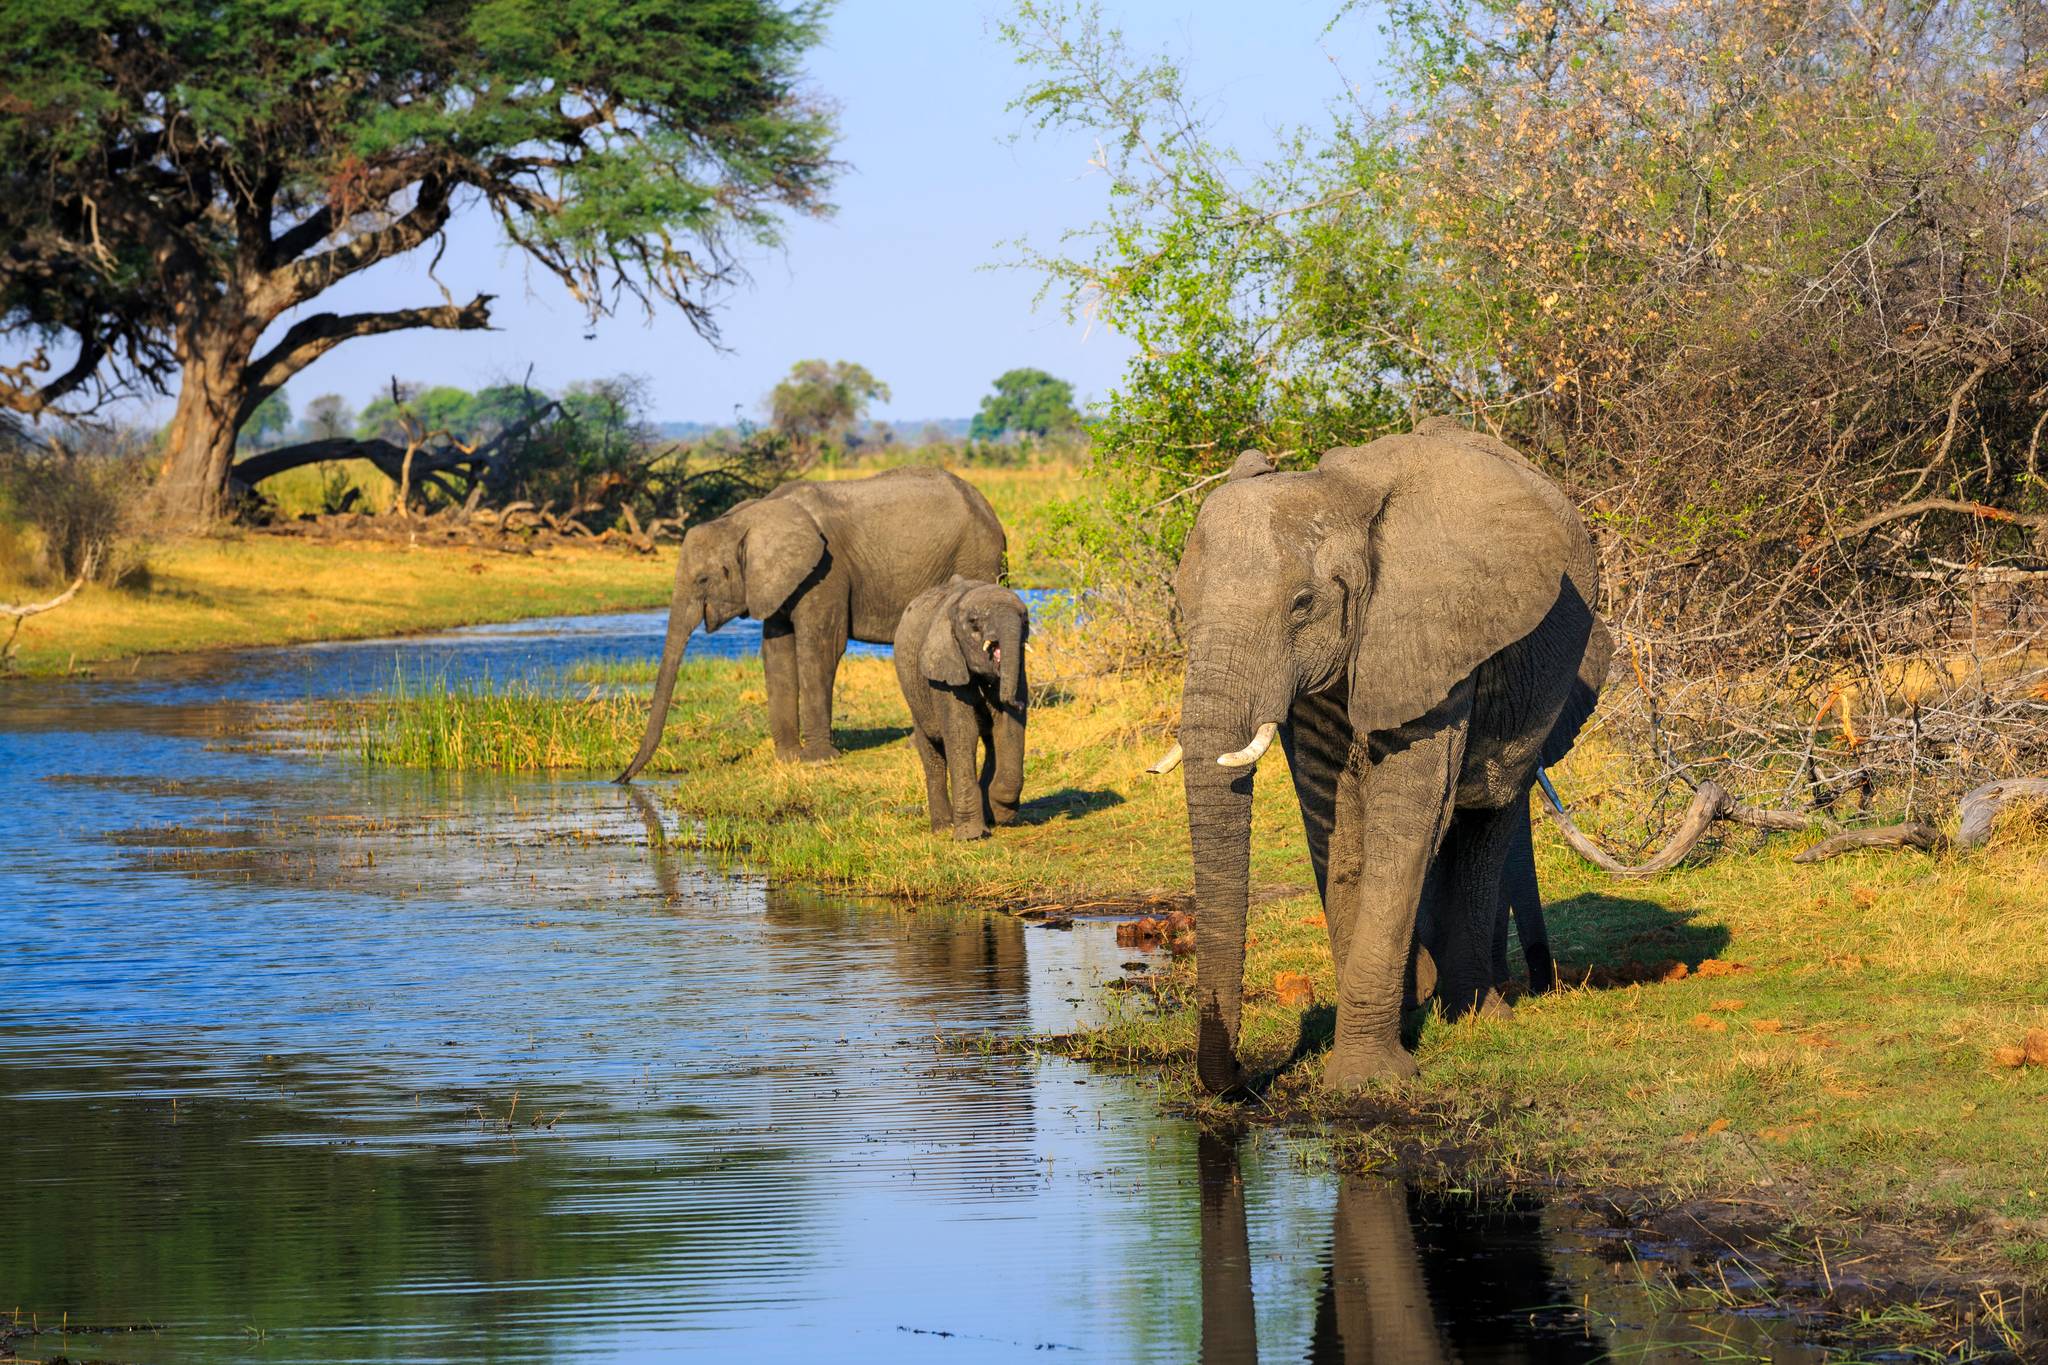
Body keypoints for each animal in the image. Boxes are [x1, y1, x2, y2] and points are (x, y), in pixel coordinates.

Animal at [618, 466, 1011, 777]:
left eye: (702, 580)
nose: (621, 779)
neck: (747, 518)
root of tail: (987, 507)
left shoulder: (826, 571)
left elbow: (820, 648)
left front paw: (820, 760)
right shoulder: (778, 582)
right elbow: (776, 652)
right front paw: (789, 759)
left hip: (977, 558)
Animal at [892, 573, 1032, 839]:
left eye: (1025, 618)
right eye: (973, 622)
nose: (1019, 702)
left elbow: (1008, 727)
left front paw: (1002, 812)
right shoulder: (945, 668)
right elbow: (962, 731)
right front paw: (971, 836)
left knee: (991, 742)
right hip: (915, 698)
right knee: (933, 755)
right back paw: (942, 827)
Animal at [1163, 421, 1605, 1096]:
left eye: (1302, 603)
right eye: (1182, 605)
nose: (1240, 1075)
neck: (1342, 497)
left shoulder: (1433, 627)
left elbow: (1407, 811)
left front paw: (1364, 1079)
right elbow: (1337, 822)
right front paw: (1388, 1030)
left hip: (1544, 685)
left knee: (1486, 817)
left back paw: (1475, 1012)